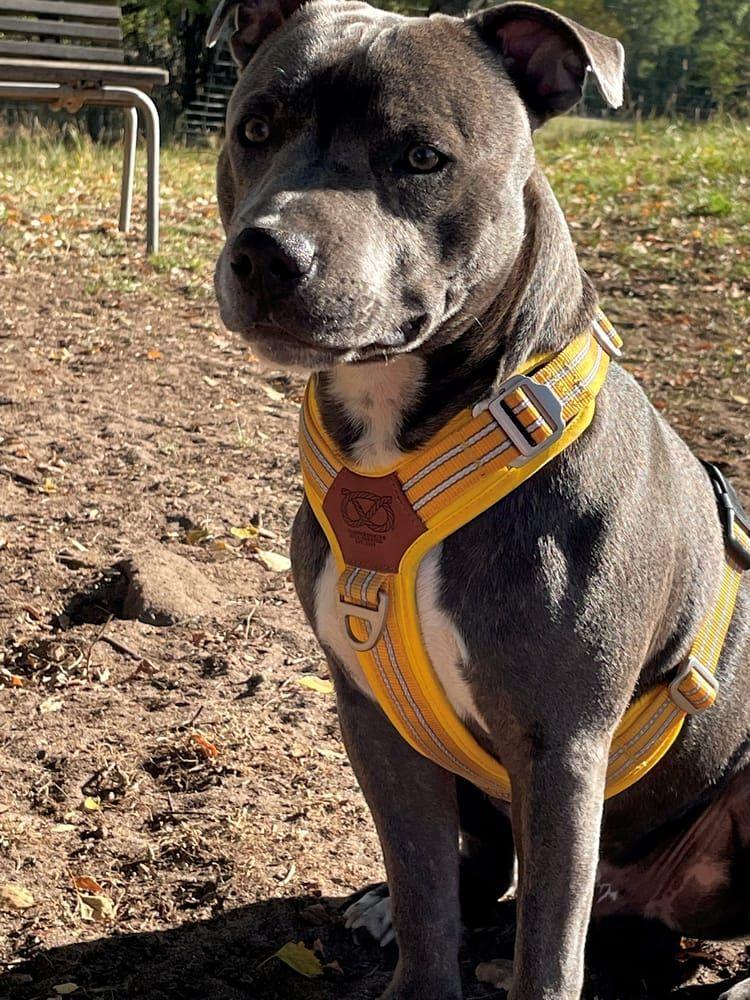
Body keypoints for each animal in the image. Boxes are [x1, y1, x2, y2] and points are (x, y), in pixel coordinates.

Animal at [207, 3, 750, 996]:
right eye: (256, 128)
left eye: (422, 157)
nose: (266, 251)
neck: (409, 445)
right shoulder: (374, 720)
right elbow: (425, 892)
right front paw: (414, 944)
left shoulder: (561, 746)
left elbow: (549, 950)